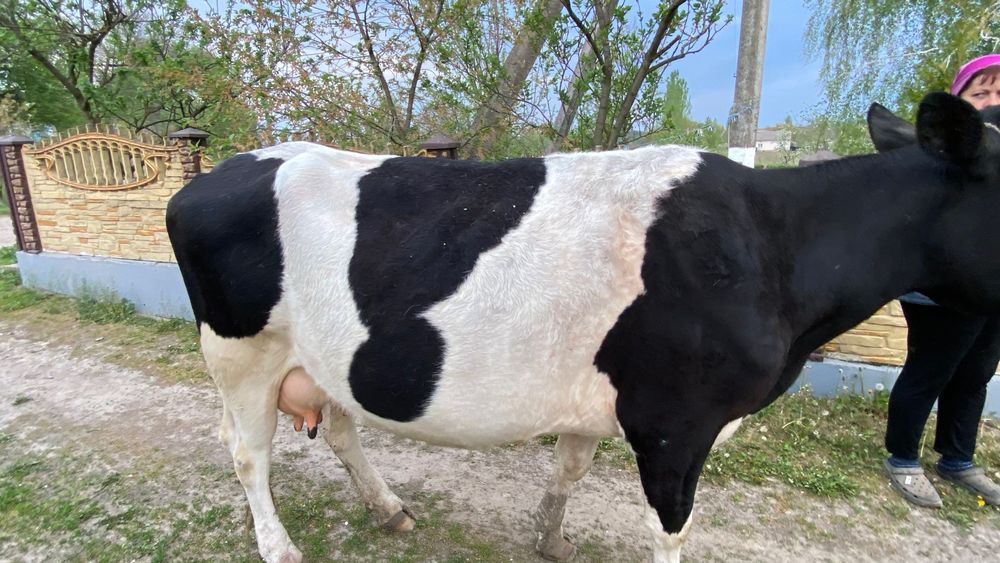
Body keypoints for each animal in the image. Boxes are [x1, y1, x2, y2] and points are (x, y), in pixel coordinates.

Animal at [165, 92, 1000, 563]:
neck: (775, 246)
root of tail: (219, 171)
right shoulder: (676, 422)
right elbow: (672, 530)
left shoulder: (605, 403)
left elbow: (566, 474)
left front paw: (550, 539)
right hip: (241, 353)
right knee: (247, 452)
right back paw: (280, 546)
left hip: (326, 355)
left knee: (340, 427)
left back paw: (389, 508)